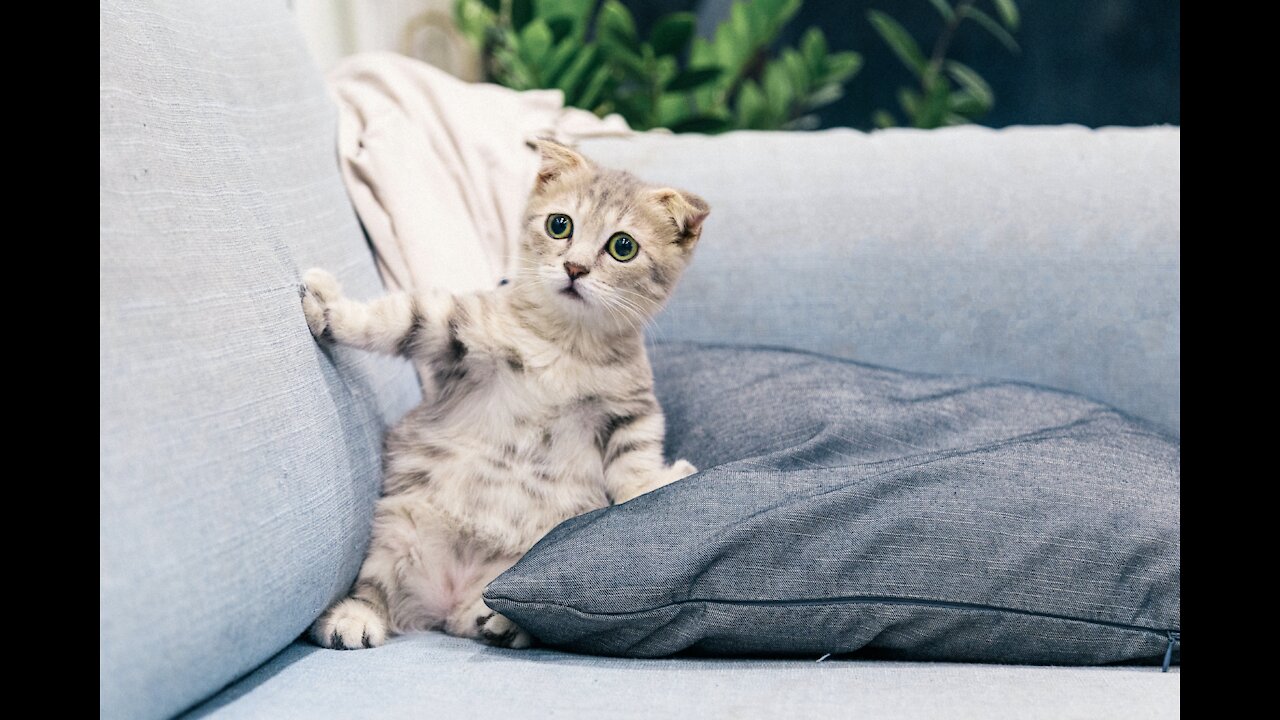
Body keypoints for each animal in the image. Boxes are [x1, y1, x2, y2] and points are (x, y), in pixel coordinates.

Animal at [305, 137, 716, 648]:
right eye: (560, 225)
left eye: (623, 246)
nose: (575, 267)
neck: (567, 344)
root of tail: (446, 599)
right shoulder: (458, 331)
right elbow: (399, 318)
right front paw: (327, 309)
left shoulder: (631, 409)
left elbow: (634, 462)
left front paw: (654, 483)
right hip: (396, 529)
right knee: (373, 587)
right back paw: (354, 618)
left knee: (478, 615)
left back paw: (499, 621)